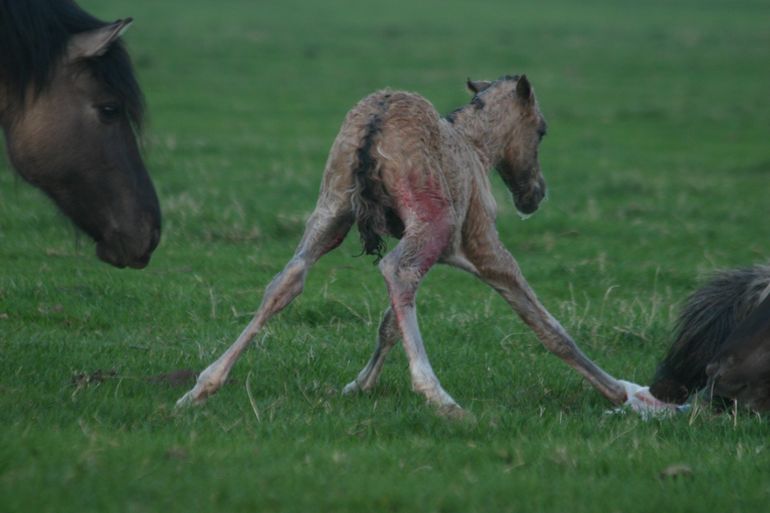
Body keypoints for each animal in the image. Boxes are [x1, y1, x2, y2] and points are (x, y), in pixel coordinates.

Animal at [178, 74, 656, 414]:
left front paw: (357, 385)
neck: (475, 148)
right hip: (432, 219)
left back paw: (201, 386)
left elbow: (390, 323)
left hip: (332, 209)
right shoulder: (481, 245)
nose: (534, 194)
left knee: (288, 278)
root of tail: (377, 120)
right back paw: (438, 396)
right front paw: (624, 392)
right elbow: (544, 322)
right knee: (396, 270)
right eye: (541, 130)